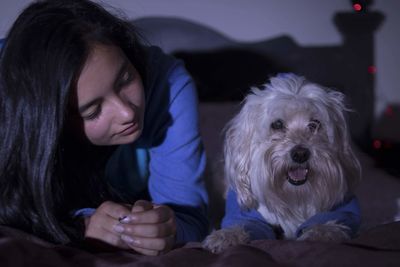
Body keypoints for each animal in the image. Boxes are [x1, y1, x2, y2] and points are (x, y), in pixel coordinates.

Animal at [203, 73, 362, 253]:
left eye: (315, 124)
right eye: (277, 124)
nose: (300, 154)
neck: (295, 196)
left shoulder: (344, 208)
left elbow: (333, 219)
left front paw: (323, 232)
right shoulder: (247, 214)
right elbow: (246, 224)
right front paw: (227, 235)